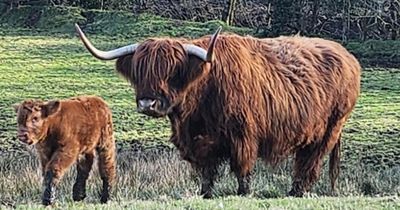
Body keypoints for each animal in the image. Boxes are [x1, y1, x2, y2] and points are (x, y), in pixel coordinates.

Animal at [74, 23, 360, 198]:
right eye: (139, 70)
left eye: (173, 70)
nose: (148, 103)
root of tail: (348, 56)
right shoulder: (197, 141)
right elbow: (206, 173)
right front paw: (205, 194)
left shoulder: (243, 136)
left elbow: (242, 171)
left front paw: (243, 194)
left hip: (329, 130)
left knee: (308, 165)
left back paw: (295, 193)